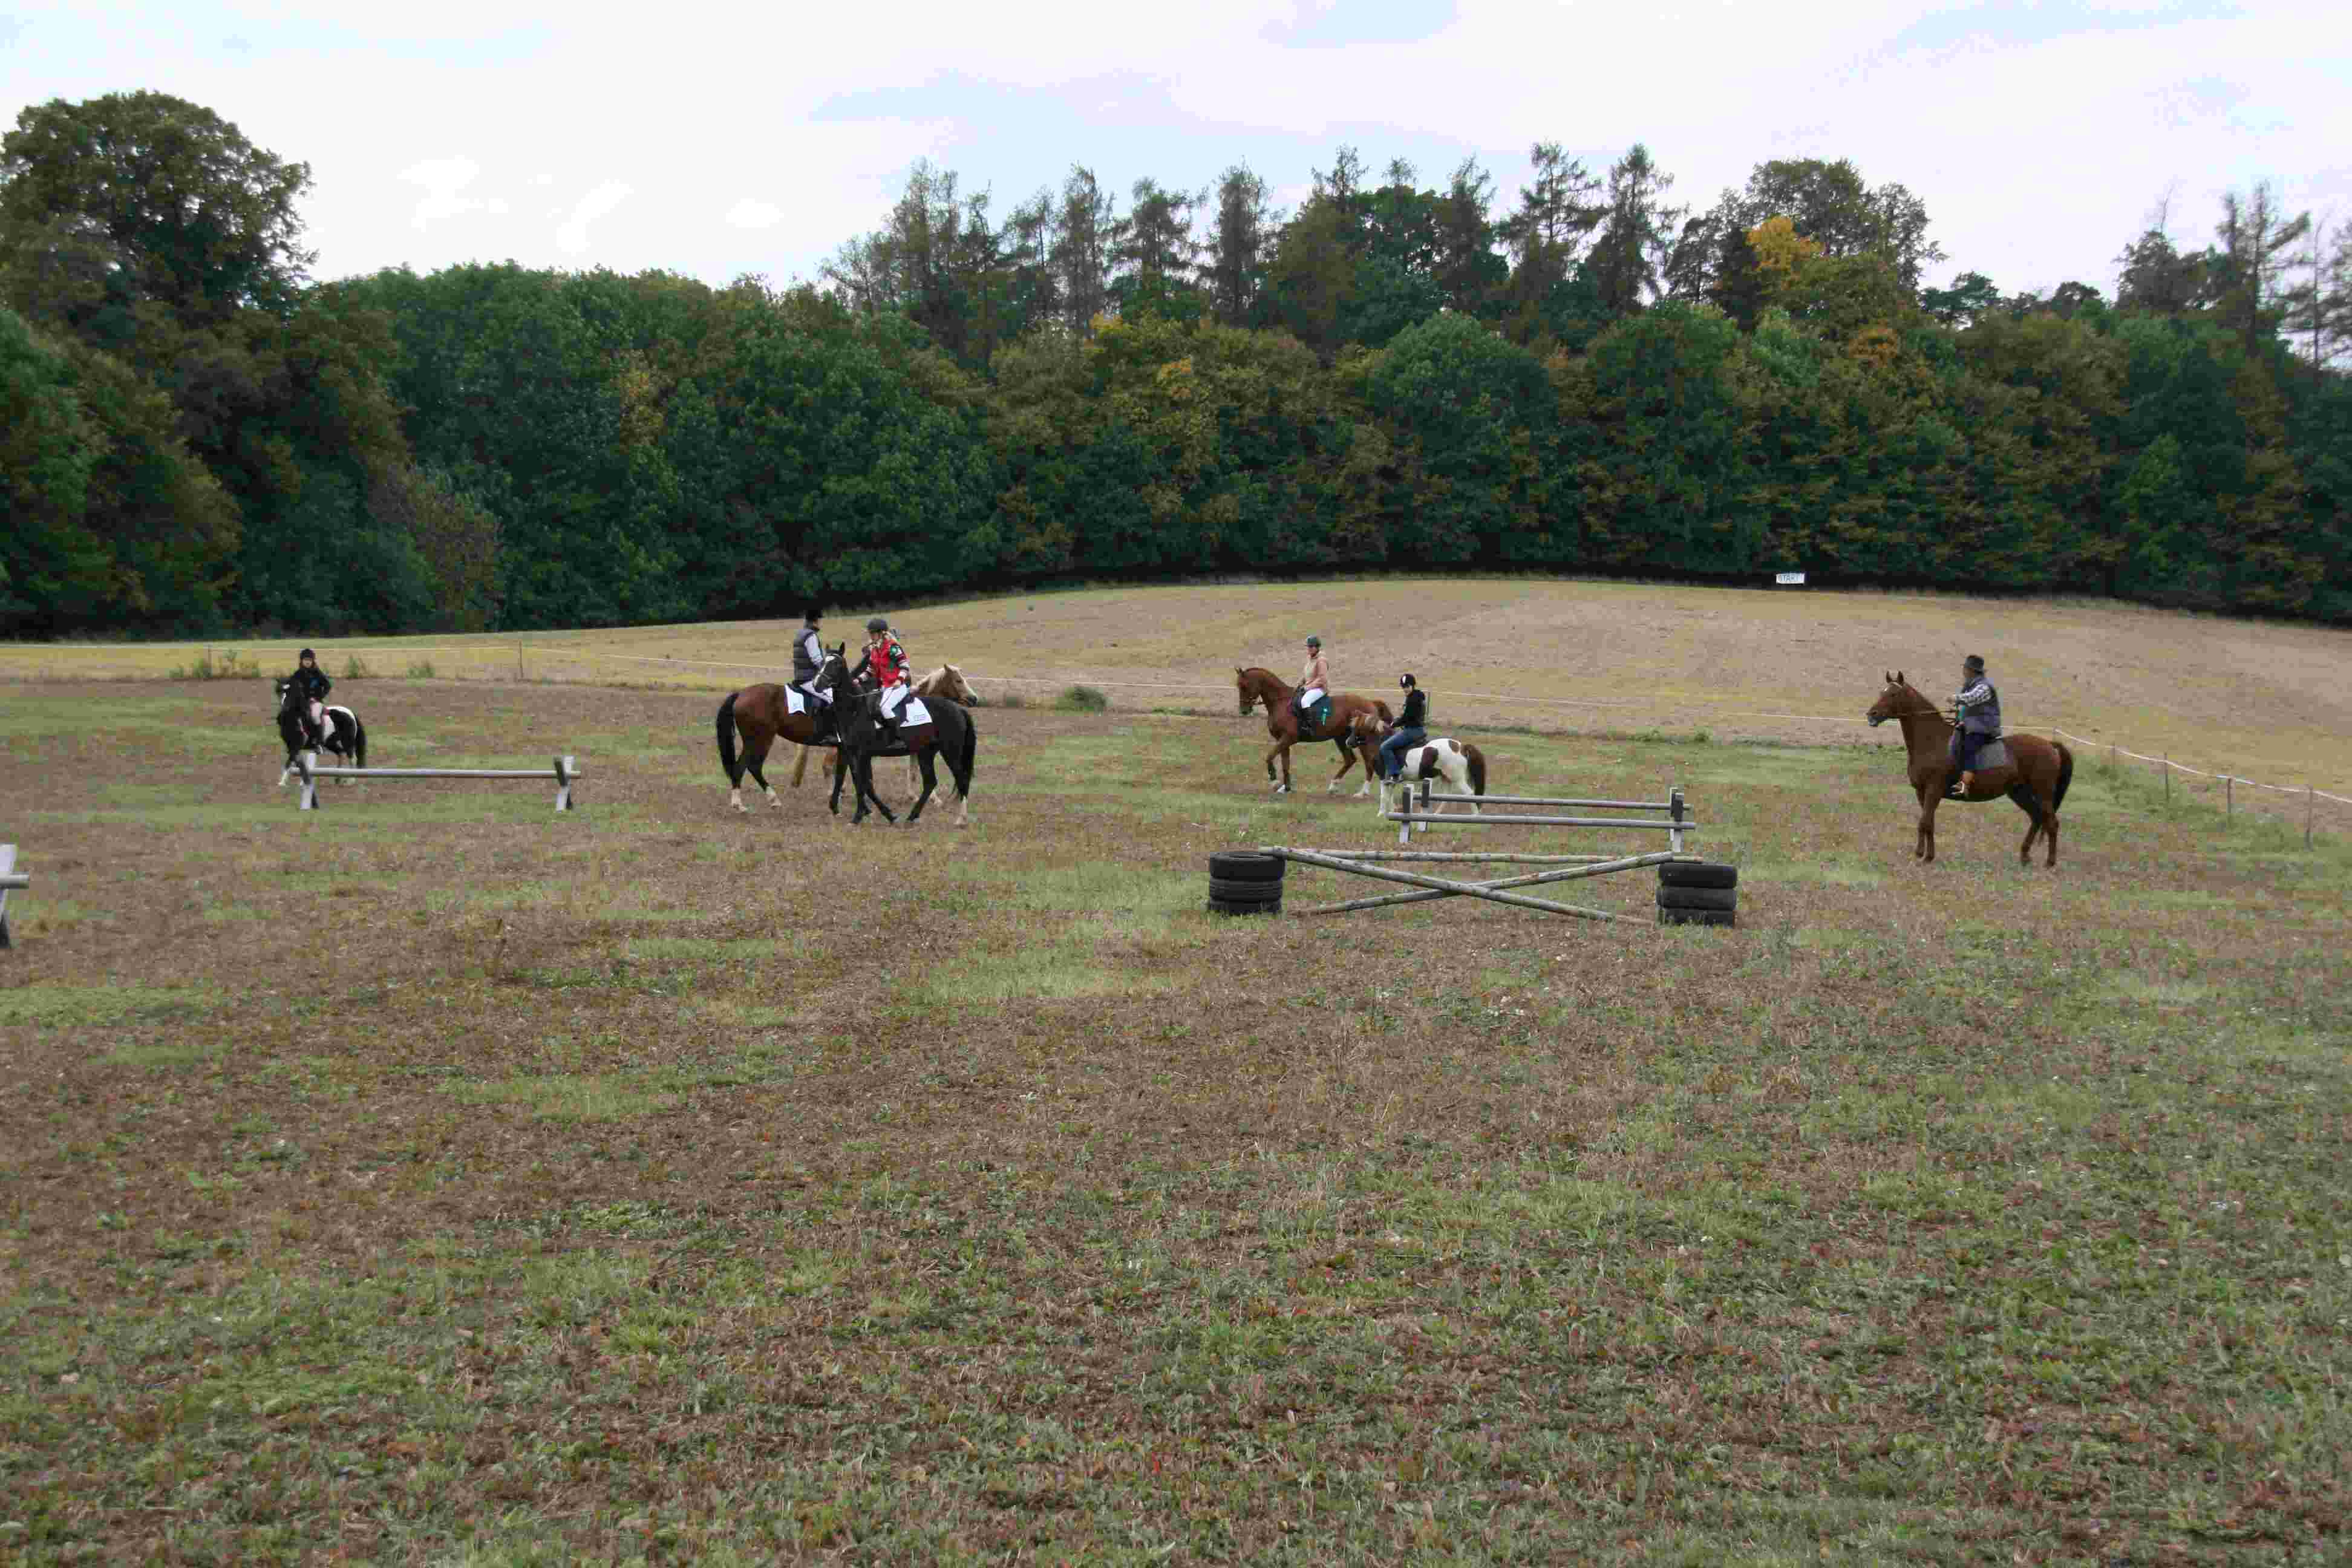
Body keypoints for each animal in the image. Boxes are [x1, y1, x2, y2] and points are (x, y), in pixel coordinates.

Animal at [273, 681, 364, 789]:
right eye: (280, 695)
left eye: (292, 695)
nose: (282, 713)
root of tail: (350, 712)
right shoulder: (291, 747)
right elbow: (298, 763)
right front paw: (303, 781)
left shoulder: (296, 746)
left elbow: (289, 762)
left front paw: (282, 783)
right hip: (330, 743)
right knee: (340, 753)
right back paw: (337, 779)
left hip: (347, 742)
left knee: (352, 758)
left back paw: (351, 781)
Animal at [823, 644, 978, 827]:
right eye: (959, 681)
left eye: (836, 664)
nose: (974, 699)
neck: (856, 708)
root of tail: (958, 709)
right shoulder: (857, 754)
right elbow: (865, 783)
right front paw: (880, 814)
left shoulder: (863, 754)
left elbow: (864, 783)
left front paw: (861, 816)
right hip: (927, 753)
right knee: (931, 782)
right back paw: (912, 816)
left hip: (950, 752)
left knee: (961, 779)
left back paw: (961, 819)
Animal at [1232, 667, 1392, 804]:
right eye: (1239, 686)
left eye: (1244, 686)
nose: (1244, 711)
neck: (1281, 703)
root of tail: (1370, 703)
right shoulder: (1283, 741)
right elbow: (1285, 764)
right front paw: (1286, 788)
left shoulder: (1287, 739)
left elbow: (1269, 757)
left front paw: (1274, 782)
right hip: (1341, 738)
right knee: (1350, 760)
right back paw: (1333, 786)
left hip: (1362, 741)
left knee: (1369, 763)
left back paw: (1362, 793)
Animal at [1863, 672, 2069, 869]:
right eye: (1882, 692)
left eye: (1893, 694)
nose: (1872, 715)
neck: (1932, 742)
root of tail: (2050, 745)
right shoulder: (1922, 792)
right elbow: (1929, 823)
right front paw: (1929, 856)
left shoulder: (1933, 790)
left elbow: (1924, 822)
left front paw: (1921, 855)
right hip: (2018, 792)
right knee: (2036, 817)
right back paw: (2025, 856)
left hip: (2043, 793)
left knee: (2052, 823)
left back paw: (2050, 862)